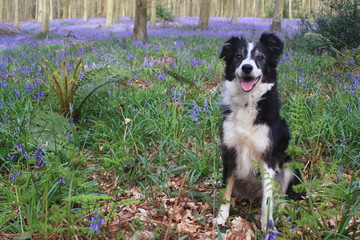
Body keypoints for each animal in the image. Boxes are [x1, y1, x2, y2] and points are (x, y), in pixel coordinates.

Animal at [215, 32, 302, 231]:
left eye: (260, 58)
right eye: (238, 56)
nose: (247, 67)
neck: (247, 102)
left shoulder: (268, 158)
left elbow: (267, 201)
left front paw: (267, 226)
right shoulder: (229, 153)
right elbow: (225, 191)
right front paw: (221, 217)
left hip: (289, 163)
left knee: (280, 196)